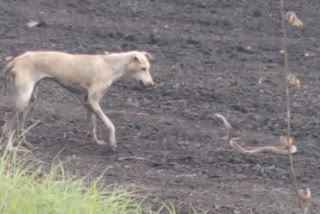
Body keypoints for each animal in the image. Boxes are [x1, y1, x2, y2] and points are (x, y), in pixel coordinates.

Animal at [0, 50, 154, 150]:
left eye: (148, 68)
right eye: (143, 68)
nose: (151, 84)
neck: (110, 65)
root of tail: (16, 59)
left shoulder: (88, 102)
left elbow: (92, 124)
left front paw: (95, 141)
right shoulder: (93, 101)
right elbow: (110, 124)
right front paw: (112, 142)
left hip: (30, 99)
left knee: (19, 125)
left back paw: (24, 144)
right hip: (23, 100)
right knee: (6, 127)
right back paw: (10, 148)